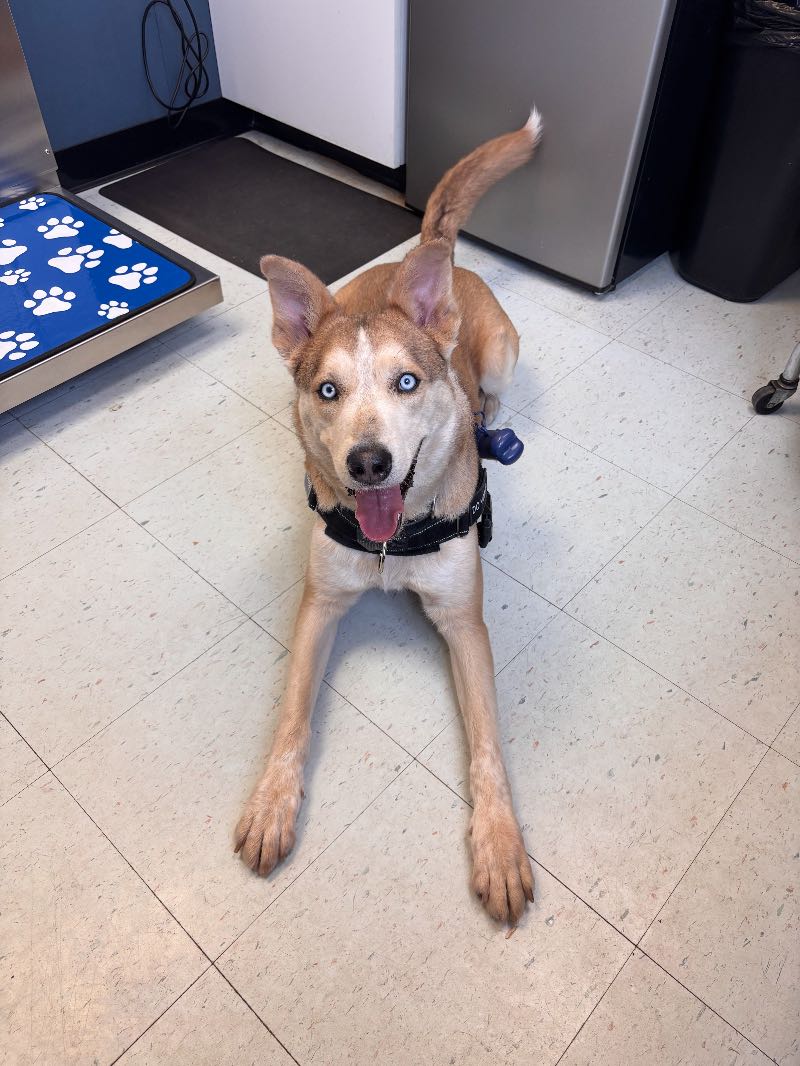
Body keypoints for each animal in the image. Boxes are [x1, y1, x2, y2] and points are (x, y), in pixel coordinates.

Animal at [235, 110, 542, 923]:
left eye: (406, 382)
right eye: (329, 390)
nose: (367, 464)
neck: (391, 547)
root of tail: (427, 253)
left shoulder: (465, 624)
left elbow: (489, 746)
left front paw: (500, 844)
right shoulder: (318, 606)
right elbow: (291, 716)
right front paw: (271, 805)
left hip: (500, 355)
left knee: (492, 391)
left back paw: (489, 420)